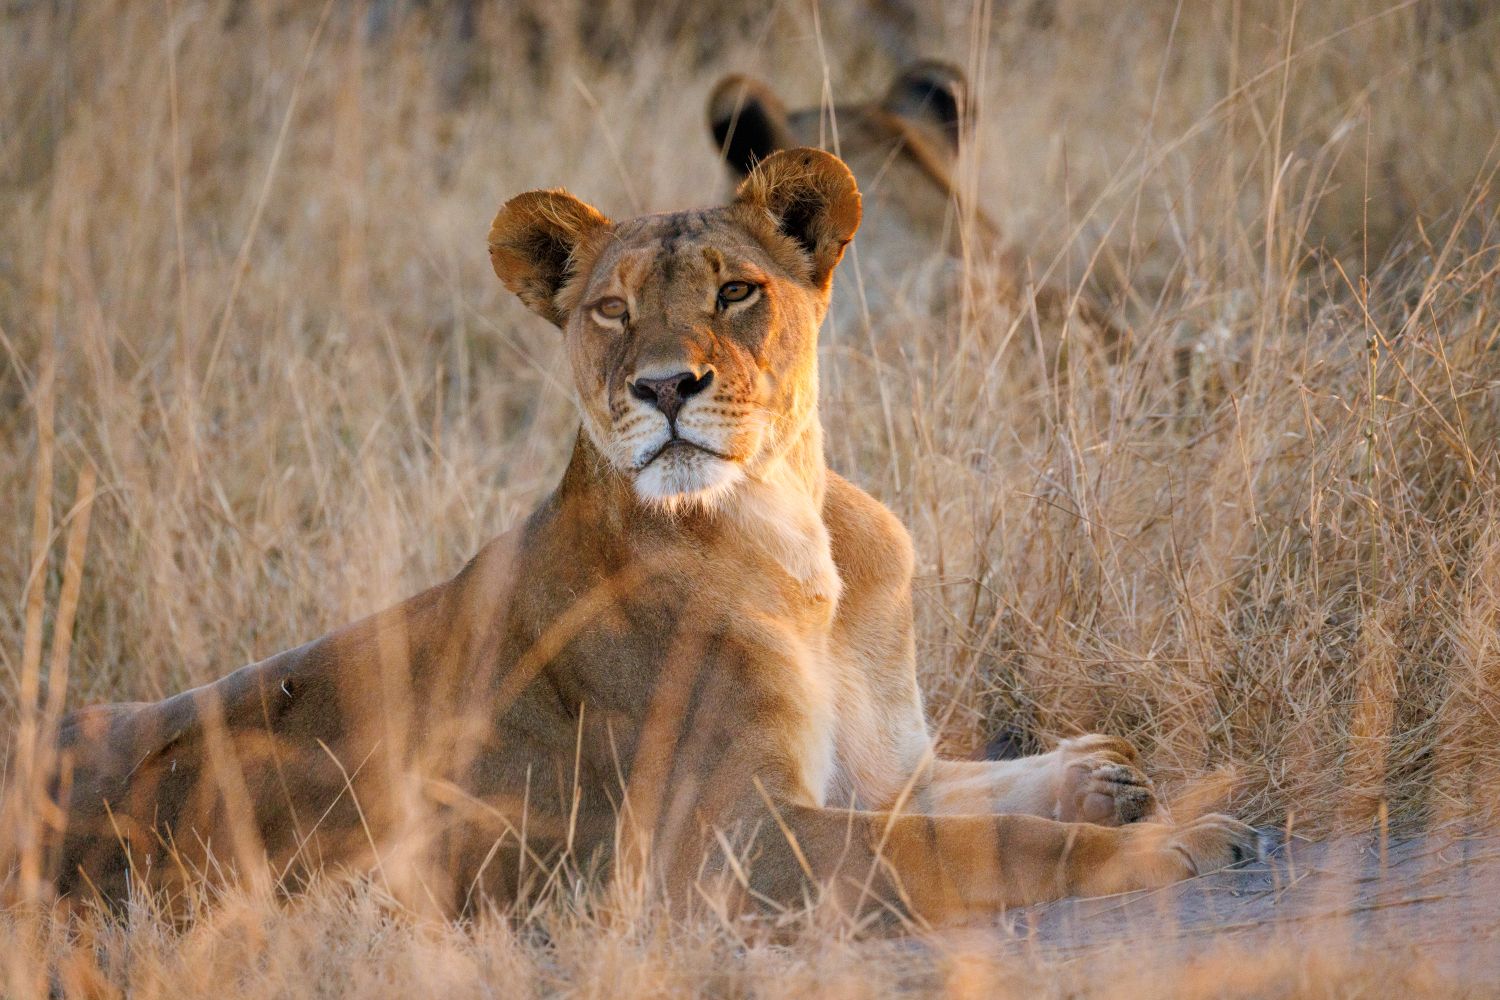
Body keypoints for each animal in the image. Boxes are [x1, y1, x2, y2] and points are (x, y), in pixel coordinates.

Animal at [36, 148, 1253, 925]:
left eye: (736, 291)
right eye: (611, 310)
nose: (666, 386)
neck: (793, 538)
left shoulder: (868, 764)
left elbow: (964, 790)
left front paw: (1105, 775)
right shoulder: (717, 848)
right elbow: (965, 842)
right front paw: (1172, 846)